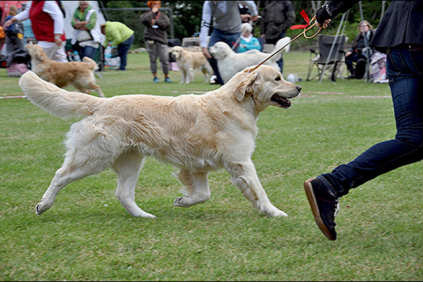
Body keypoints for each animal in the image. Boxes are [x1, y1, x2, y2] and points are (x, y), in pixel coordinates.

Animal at [17, 65, 302, 218]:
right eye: (277, 78)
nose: (298, 88)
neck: (236, 103)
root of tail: (100, 103)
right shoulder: (241, 163)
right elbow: (259, 191)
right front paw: (274, 212)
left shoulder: (195, 166)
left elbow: (203, 194)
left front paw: (183, 201)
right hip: (94, 157)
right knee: (60, 175)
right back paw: (44, 204)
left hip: (131, 161)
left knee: (123, 194)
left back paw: (144, 215)